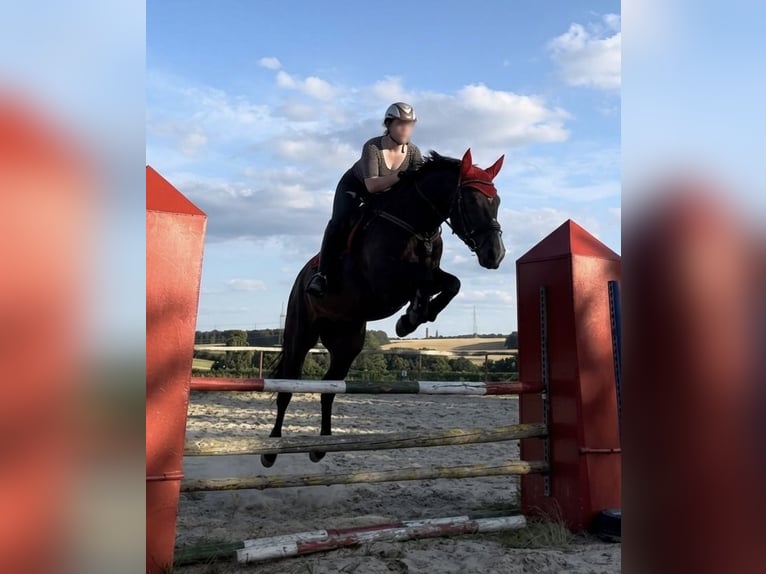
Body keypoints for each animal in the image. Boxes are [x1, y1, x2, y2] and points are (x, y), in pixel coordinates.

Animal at [261, 148, 506, 467]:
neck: (416, 225)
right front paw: (412, 316)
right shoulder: (386, 281)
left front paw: (414, 316)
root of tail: (301, 276)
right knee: (287, 387)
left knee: (329, 388)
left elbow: (451, 283)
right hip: (300, 333)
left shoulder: (427, 273)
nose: (495, 255)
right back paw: (271, 450)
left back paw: (321, 446)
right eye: (474, 201)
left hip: (347, 341)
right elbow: (430, 280)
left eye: (496, 201)